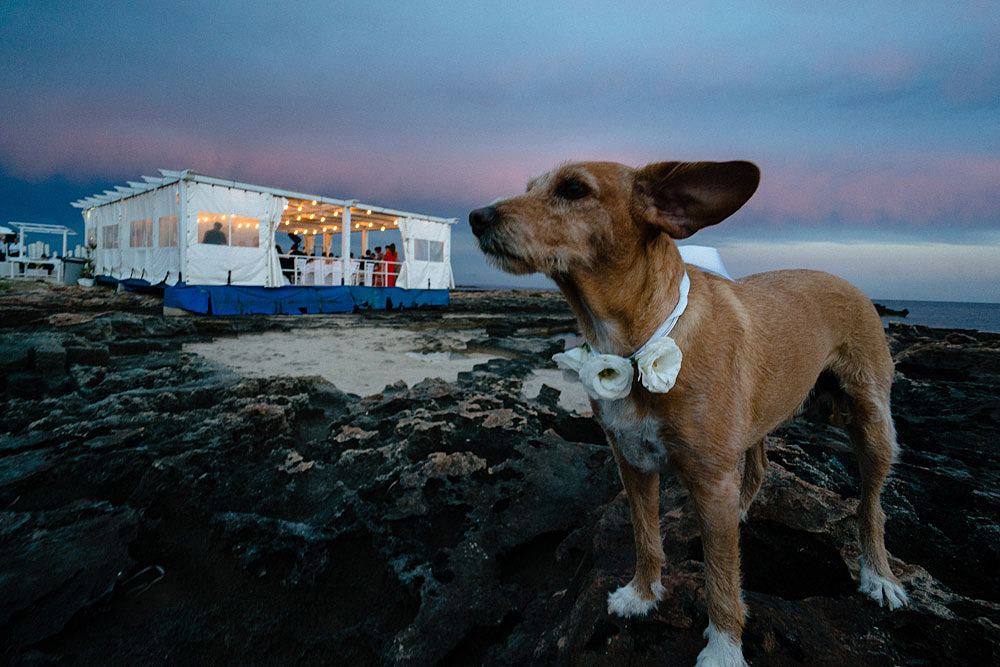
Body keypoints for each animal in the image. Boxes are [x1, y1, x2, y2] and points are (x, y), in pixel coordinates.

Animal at [468, 162, 908, 667]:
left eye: (574, 189)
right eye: (529, 187)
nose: (476, 218)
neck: (638, 342)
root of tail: (850, 283)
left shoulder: (710, 478)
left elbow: (720, 577)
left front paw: (723, 648)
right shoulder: (633, 464)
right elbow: (646, 537)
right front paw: (643, 594)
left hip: (871, 424)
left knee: (871, 505)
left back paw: (879, 576)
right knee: (760, 463)